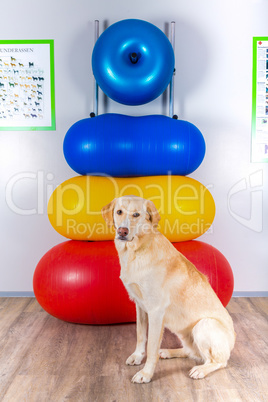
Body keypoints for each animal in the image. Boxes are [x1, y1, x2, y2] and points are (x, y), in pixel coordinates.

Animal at [101, 196, 236, 384]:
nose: (122, 231)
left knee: (218, 361)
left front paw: (146, 374)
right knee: (191, 352)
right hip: (182, 331)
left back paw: (200, 370)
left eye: (136, 214)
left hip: (204, 324)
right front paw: (137, 356)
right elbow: (141, 335)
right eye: (119, 212)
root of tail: (233, 341)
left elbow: (151, 347)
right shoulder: (140, 306)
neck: (136, 250)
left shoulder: (156, 311)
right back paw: (168, 352)